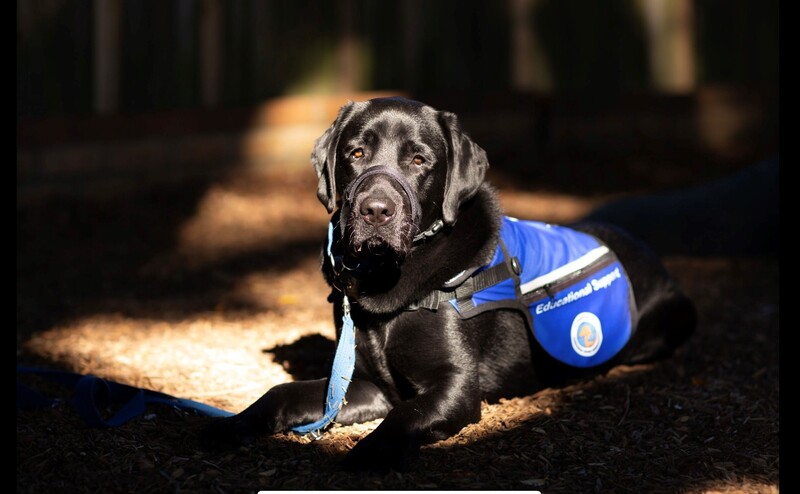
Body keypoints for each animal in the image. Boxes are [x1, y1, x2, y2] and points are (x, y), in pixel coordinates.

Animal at [203, 95, 696, 470]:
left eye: (419, 159)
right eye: (355, 154)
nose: (375, 210)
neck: (387, 280)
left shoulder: (454, 385)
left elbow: (407, 413)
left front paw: (368, 454)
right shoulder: (368, 384)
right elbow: (284, 391)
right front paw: (235, 424)